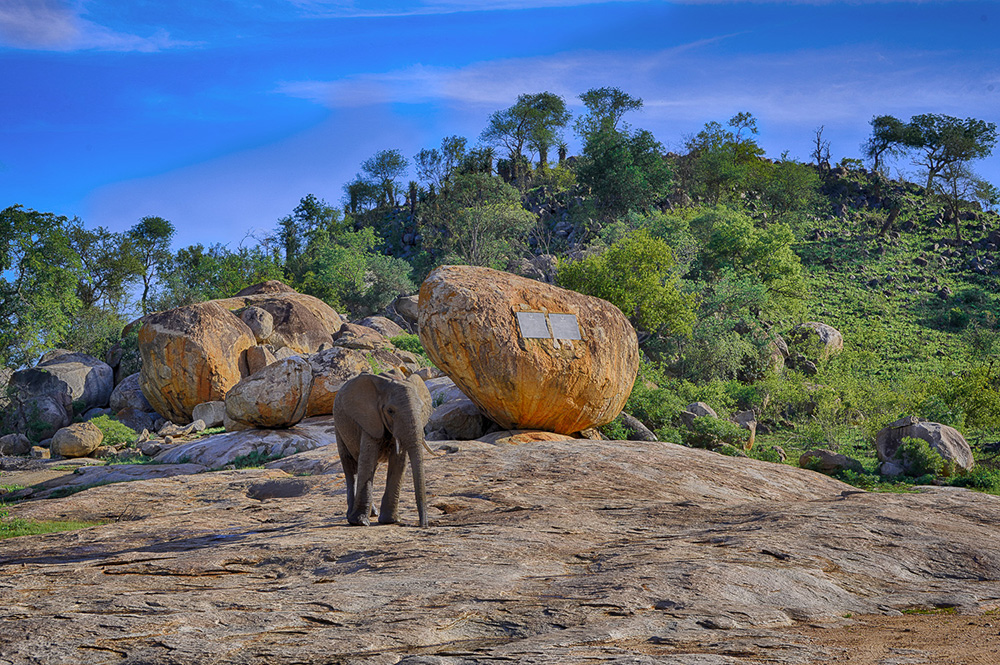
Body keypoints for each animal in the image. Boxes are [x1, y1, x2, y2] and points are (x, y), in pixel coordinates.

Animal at [333, 371, 434, 527]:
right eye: (390, 411)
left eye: (421, 408)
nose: (423, 525)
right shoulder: (369, 420)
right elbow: (367, 460)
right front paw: (360, 522)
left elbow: (399, 462)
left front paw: (391, 520)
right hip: (339, 427)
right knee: (350, 466)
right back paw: (353, 515)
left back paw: (373, 513)